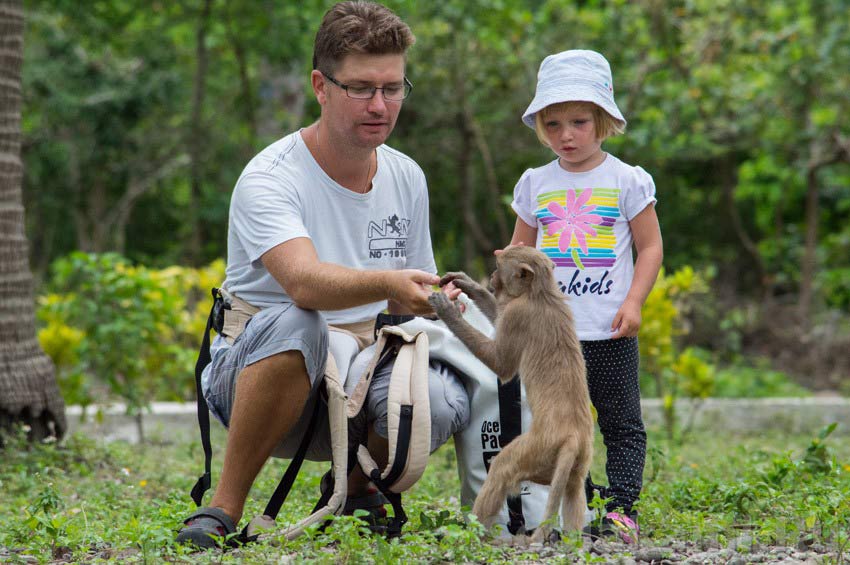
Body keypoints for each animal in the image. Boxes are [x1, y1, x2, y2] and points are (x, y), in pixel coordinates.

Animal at [428, 247, 592, 540]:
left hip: (538, 449)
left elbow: (501, 364)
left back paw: (475, 533)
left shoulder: (518, 315)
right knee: (573, 489)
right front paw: (467, 284)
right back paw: (573, 542)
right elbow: (497, 315)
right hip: (580, 457)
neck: (541, 292)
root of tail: (573, 435)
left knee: (502, 466)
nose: (492, 277)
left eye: (498, 266)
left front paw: (447, 310)